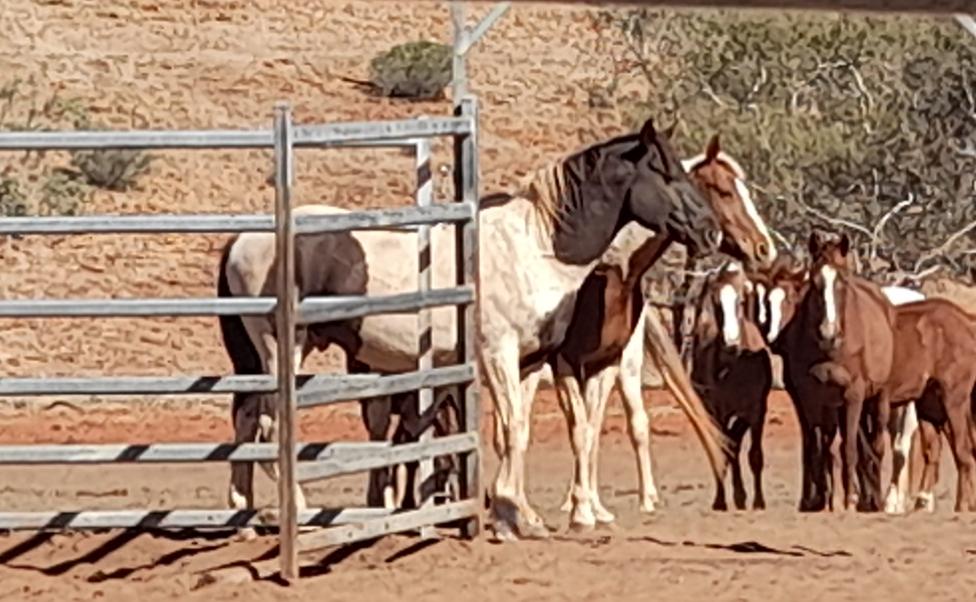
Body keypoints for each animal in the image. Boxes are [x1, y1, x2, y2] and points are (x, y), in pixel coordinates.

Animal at [216, 116, 725, 541]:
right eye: (664, 172)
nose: (711, 231)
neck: (536, 246)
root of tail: (244, 238)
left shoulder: (530, 361)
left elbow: (514, 432)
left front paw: (517, 515)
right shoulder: (498, 353)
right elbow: (513, 430)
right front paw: (507, 514)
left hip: (257, 357)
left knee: (246, 419)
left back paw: (244, 517)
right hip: (281, 348)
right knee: (270, 425)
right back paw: (296, 512)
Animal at [690, 260, 772, 511]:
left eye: (741, 300)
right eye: (716, 301)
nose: (731, 343)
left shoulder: (756, 411)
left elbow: (755, 455)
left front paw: (759, 501)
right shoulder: (718, 412)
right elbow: (724, 450)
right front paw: (721, 500)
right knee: (728, 447)